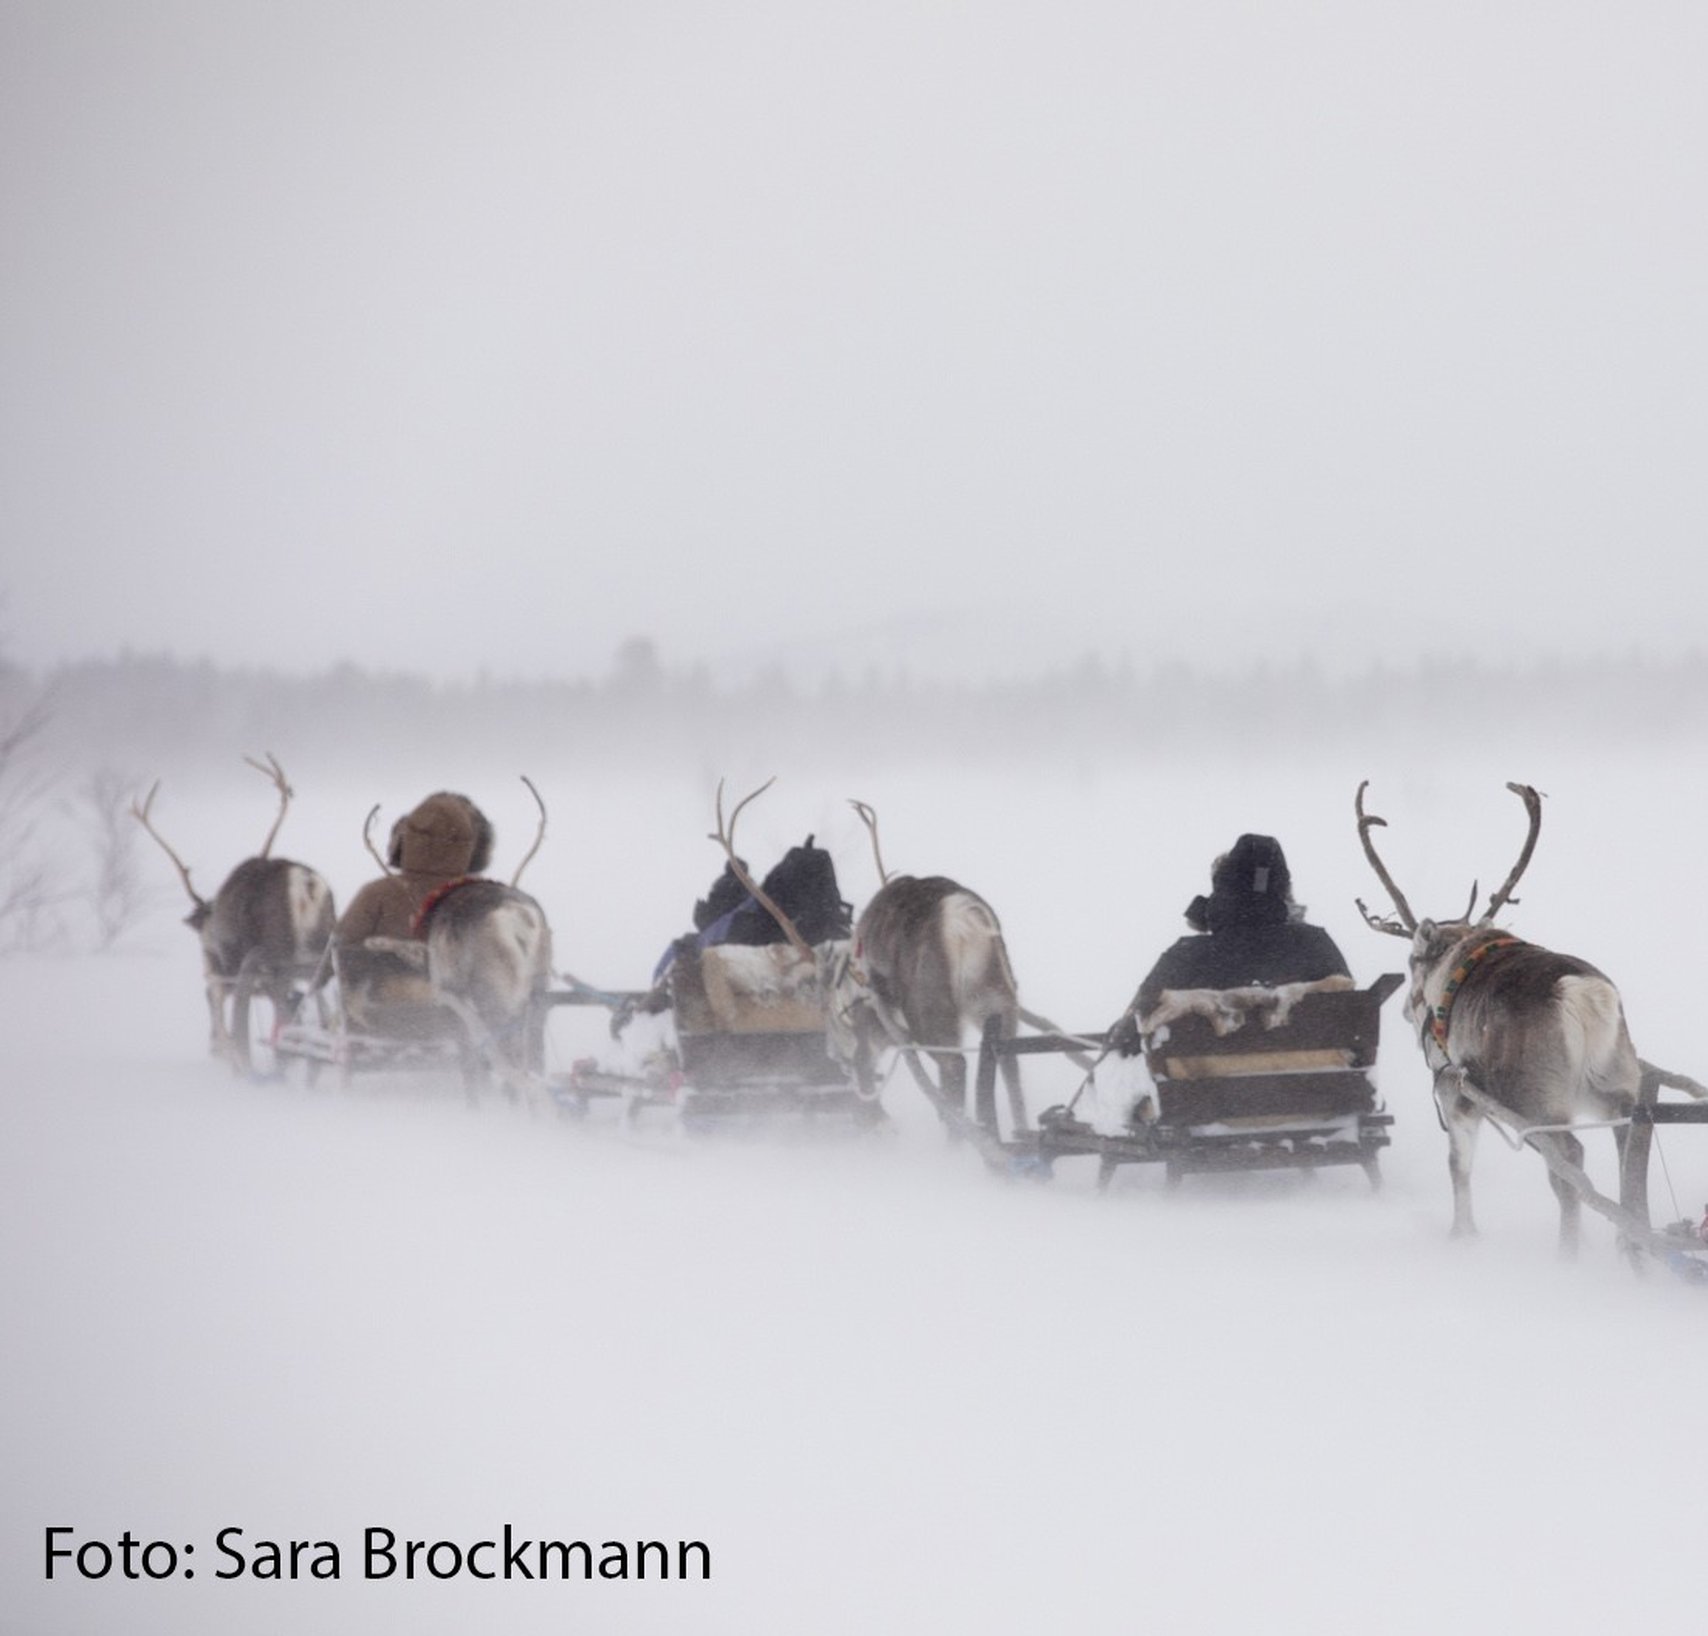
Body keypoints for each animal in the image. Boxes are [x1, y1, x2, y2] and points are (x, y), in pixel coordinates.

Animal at [132, 754, 335, 1071]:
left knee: (282, 1013)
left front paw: (228, 1054)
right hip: (320, 949)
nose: (206, 965)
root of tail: (305, 884)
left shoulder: (230, 974)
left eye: (202, 937)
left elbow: (223, 1012)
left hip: (277, 959)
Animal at [1354, 780, 1706, 1253]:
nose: (1408, 1010)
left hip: (1537, 1098)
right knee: (1628, 1147)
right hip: (1615, 1082)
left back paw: (1569, 1252)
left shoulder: (1454, 1091)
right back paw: (1625, 1244)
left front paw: (1461, 1235)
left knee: (1570, 1162)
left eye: (1412, 961)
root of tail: (1584, 994)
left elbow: (1457, 1165)